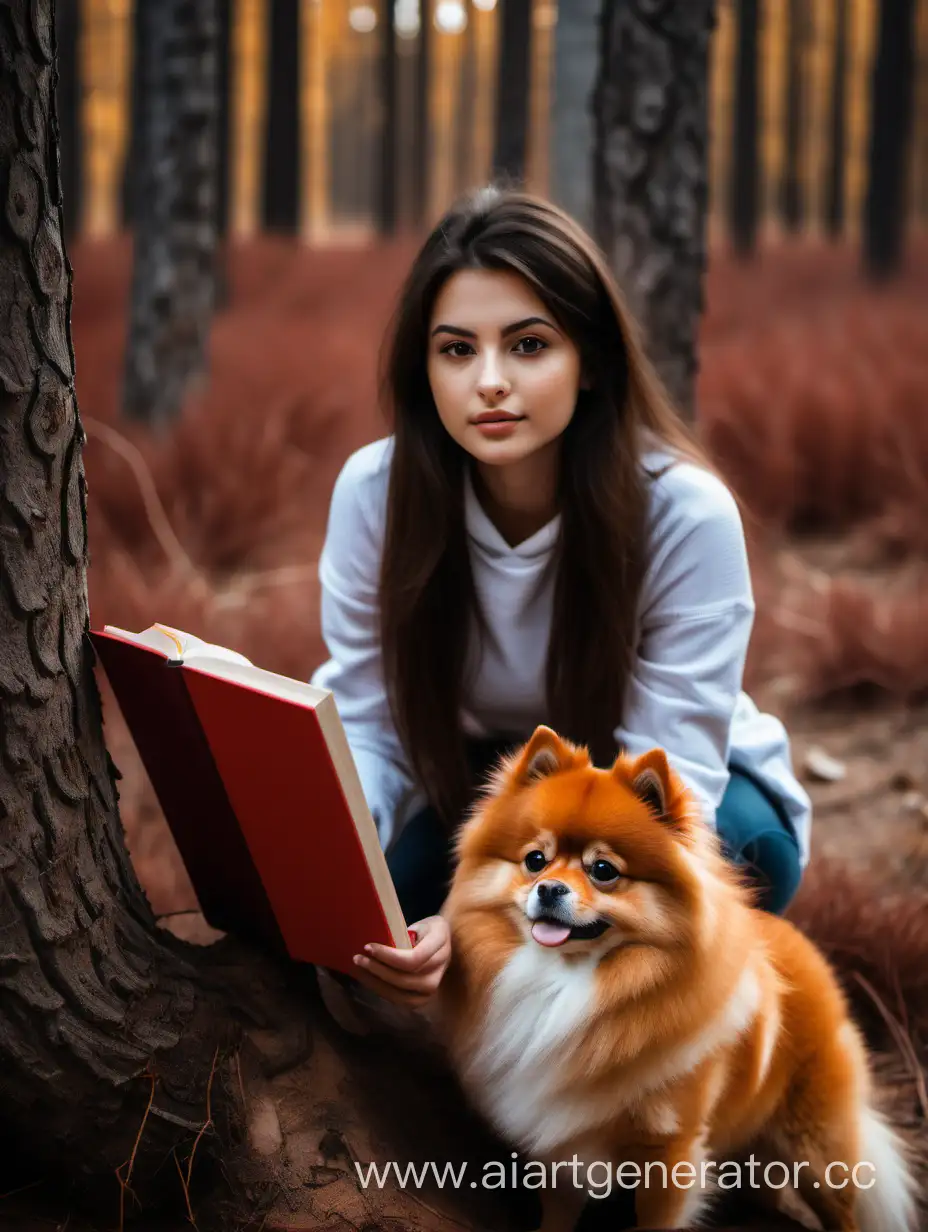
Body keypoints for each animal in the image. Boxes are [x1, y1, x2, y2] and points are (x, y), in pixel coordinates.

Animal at [431, 724, 916, 1227]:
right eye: (534, 860)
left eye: (603, 870)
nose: (549, 889)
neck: (569, 981)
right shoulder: (560, 1136)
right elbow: (558, 1214)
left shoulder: (670, 1149)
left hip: (814, 1147)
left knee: (841, 1208)